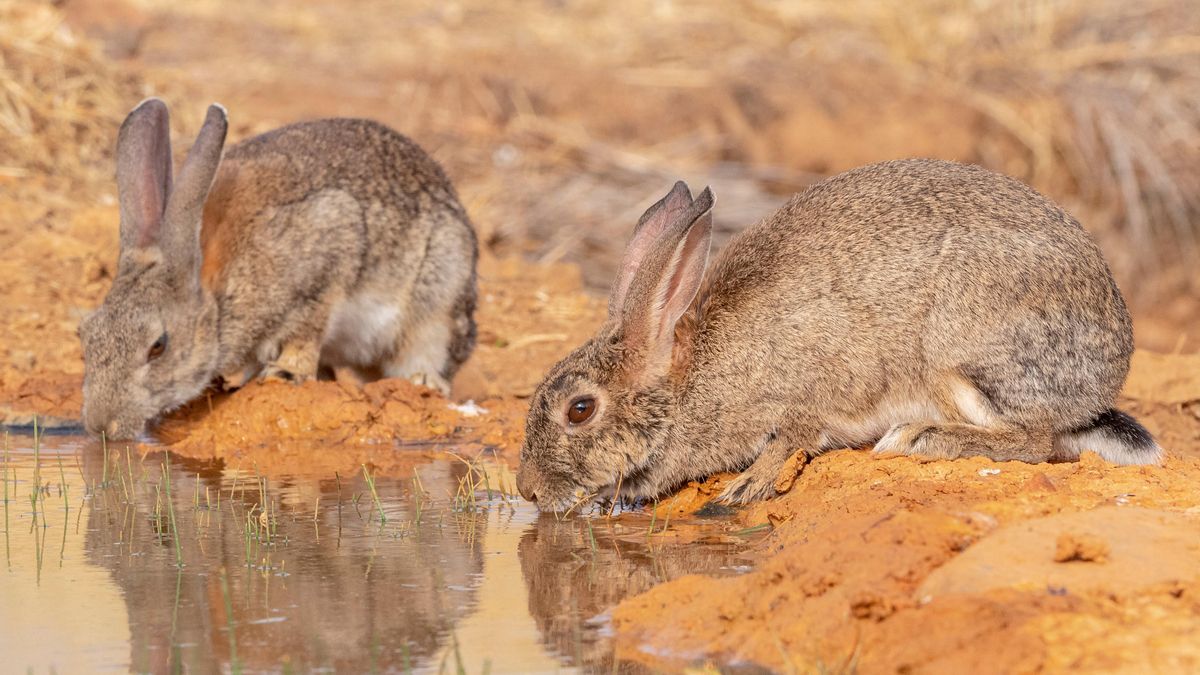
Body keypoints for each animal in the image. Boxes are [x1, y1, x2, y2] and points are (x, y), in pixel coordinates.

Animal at [79, 98, 478, 439]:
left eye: (158, 347)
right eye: (85, 335)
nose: (101, 426)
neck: (218, 296)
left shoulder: (327, 258)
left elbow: (305, 332)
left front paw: (285, 374)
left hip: (439, 297)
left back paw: (422, 381)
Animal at [515, 159, 1162, 511]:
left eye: (579, 410)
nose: (525, 492)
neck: (692, 380)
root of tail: (1106, 375)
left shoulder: (810, 388)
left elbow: (789, 438)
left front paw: (746, 486)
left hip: (959, 357)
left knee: (1033, 441)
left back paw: (920, 438)